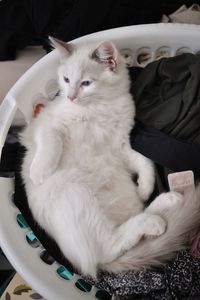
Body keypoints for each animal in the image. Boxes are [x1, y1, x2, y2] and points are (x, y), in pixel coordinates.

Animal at [19, 38, 200, 278]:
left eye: (86, 83)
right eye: (66, 80)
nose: (71, 96)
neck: (100, 108)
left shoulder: (121, 145)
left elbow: (146, 162)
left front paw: (145, 187)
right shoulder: (46, 125)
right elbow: (51, 142)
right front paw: (39, 173)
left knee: (121, 232)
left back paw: (166, 203)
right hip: (79, 194)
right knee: (108, 246)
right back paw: (156, 219)